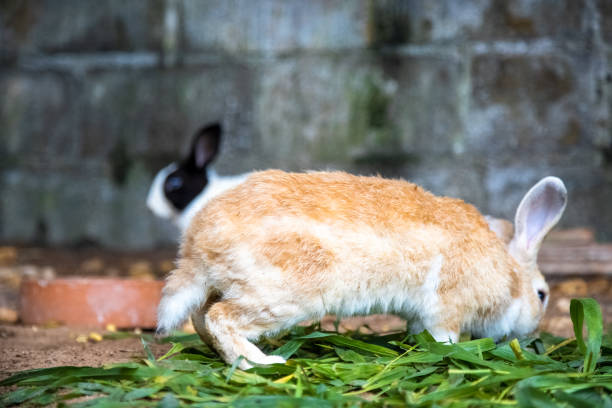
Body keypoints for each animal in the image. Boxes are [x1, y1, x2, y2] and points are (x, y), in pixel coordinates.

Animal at [157, 171, 564, 368]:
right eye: (542, 295)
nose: (531, 332)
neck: (508, 272)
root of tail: (198, 243)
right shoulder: (446, 309)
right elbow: (442, 335)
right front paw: (449, 352)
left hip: (224, 286)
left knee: (200, 317)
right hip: (280, 296)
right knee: (221, 319)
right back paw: (262, 363)